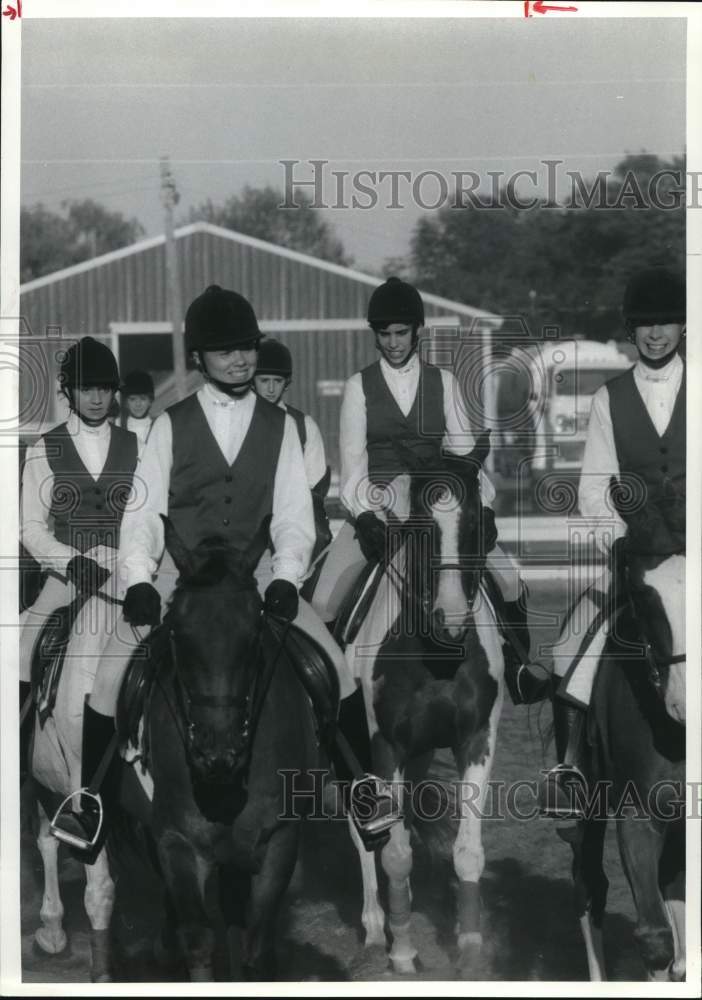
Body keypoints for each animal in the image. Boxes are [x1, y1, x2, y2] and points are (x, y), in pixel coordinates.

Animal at [28, 524, 320, 984]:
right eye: (178, 634)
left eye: (255, 634)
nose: (217, 754)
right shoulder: (179, 841)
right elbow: (197, 937)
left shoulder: (277, 841)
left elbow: (251, 936)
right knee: (83, 874)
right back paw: (66, 939)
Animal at [344, 432, 504, 976]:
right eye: (420, 527)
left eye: (479, 523)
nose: (450, 619)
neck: (436, 655)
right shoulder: (384, 745)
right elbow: (393, 854)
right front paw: (403, 953)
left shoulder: (476, 739)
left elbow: (469, 852)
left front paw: (471, 952)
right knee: (366, 835)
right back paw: (377, 929)